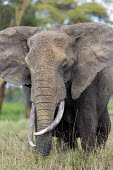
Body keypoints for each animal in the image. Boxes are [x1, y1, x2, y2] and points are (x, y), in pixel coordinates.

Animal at [0, 22, 113, 157]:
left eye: (64, 65)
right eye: (27, 67)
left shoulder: (88, 79)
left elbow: (86, 122)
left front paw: (89, 158)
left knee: (103, 129)